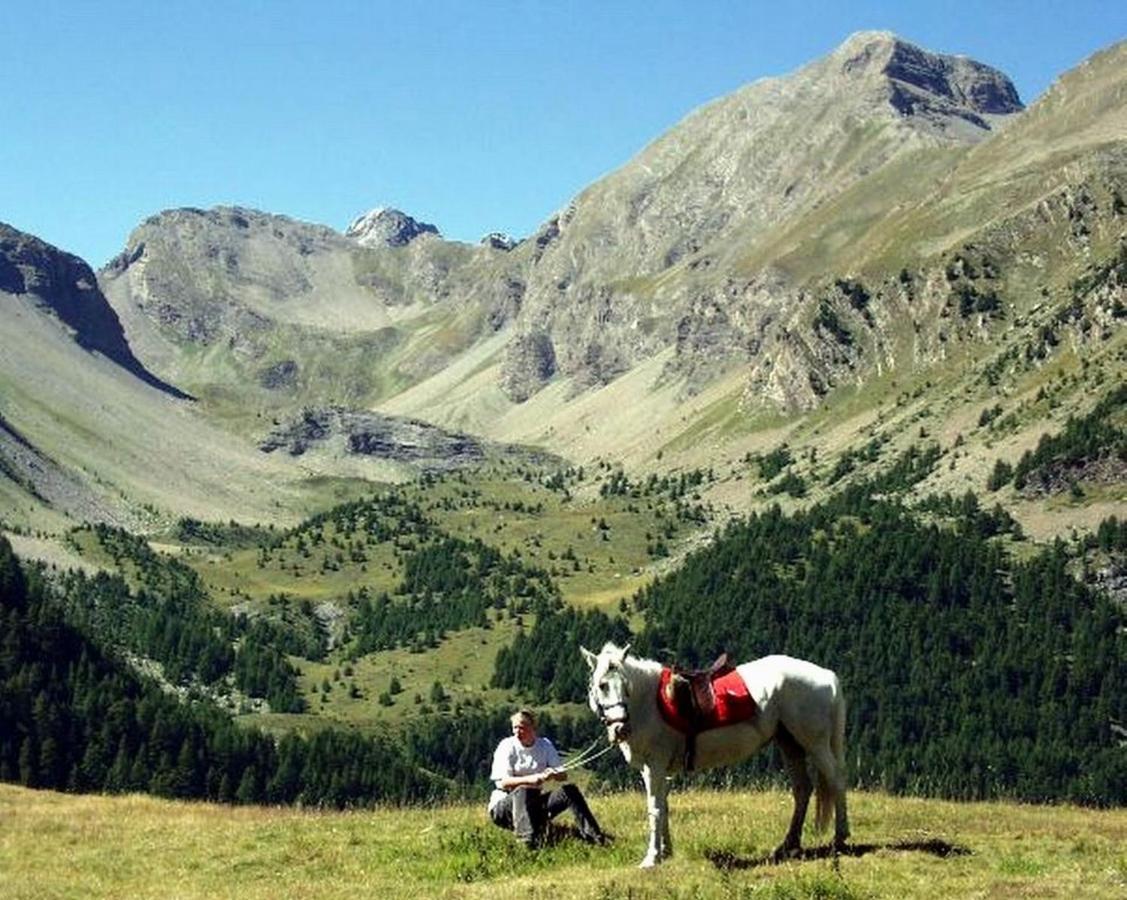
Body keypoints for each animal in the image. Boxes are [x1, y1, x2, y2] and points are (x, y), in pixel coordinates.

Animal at [586, 639, 847, 865]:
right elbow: (664, 806)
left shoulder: (654, 767)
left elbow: (655, 809)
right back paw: (788, 845)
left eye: (626, 686)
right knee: (802, 789)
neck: (649, 703)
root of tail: (827, 676)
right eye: (602, 685)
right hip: (790, 744)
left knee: (836, 781)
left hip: (815, 743)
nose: (620, 727)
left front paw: (651, 858)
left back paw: (840, 838)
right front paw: (666, 852)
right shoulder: (657, 770)